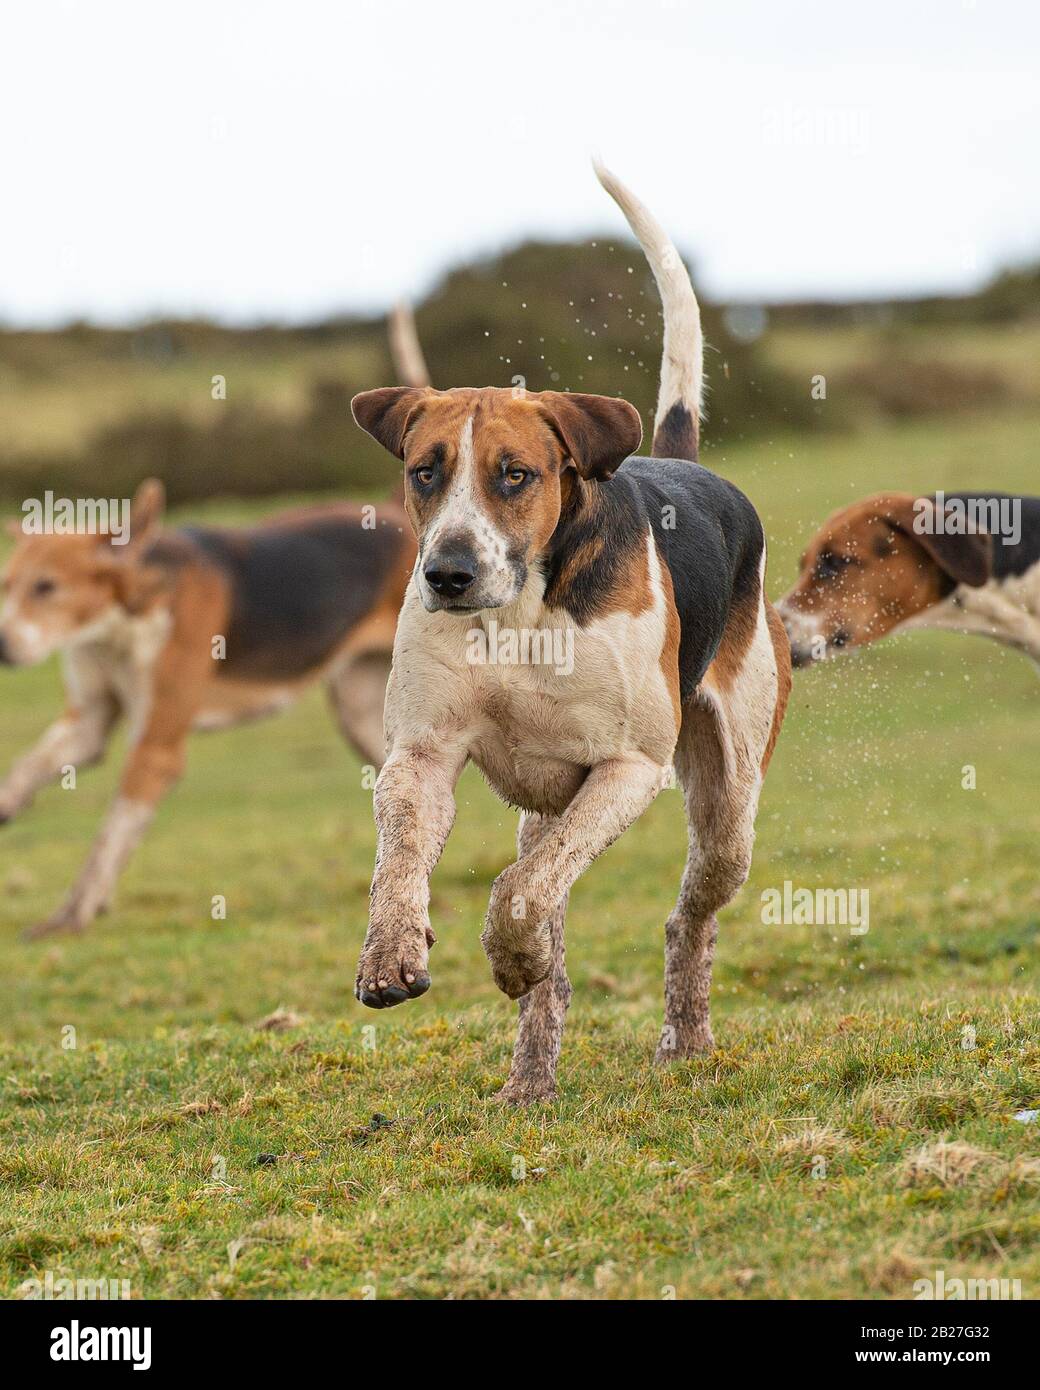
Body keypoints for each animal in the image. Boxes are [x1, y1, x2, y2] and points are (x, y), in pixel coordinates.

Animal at [348, 162, 789, 1100]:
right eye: (425, 472)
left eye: (515, 475)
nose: (447, 574)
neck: (520, 614)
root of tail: (688, 464)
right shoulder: (421, 754)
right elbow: (402, 863)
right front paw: (391, 954)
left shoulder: (627, 768)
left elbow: (520, 896)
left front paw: (510, 956)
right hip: (547, 806)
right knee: (544, 896)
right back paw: (531, 1080)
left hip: (727, 806)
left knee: (686, 915)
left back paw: (685, 1038)